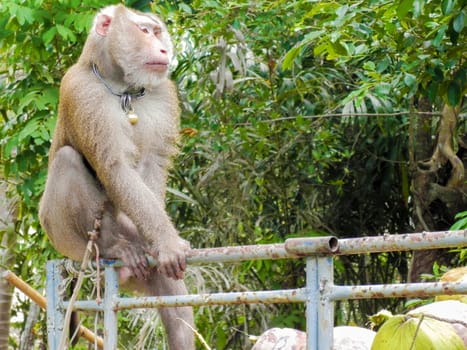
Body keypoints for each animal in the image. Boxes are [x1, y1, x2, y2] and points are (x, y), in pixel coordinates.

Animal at [38, 5, 196, 350]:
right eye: (145, 31)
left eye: (157, 32)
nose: (164, 49)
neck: (124, 90)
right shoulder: (82, 92)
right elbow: (115, 167)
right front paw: (168, 242)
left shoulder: (163, 94)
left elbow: (151, 164)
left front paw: (160, 241)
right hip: (62, 237)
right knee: (67, 161)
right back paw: (113, 248)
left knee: (174, 299)